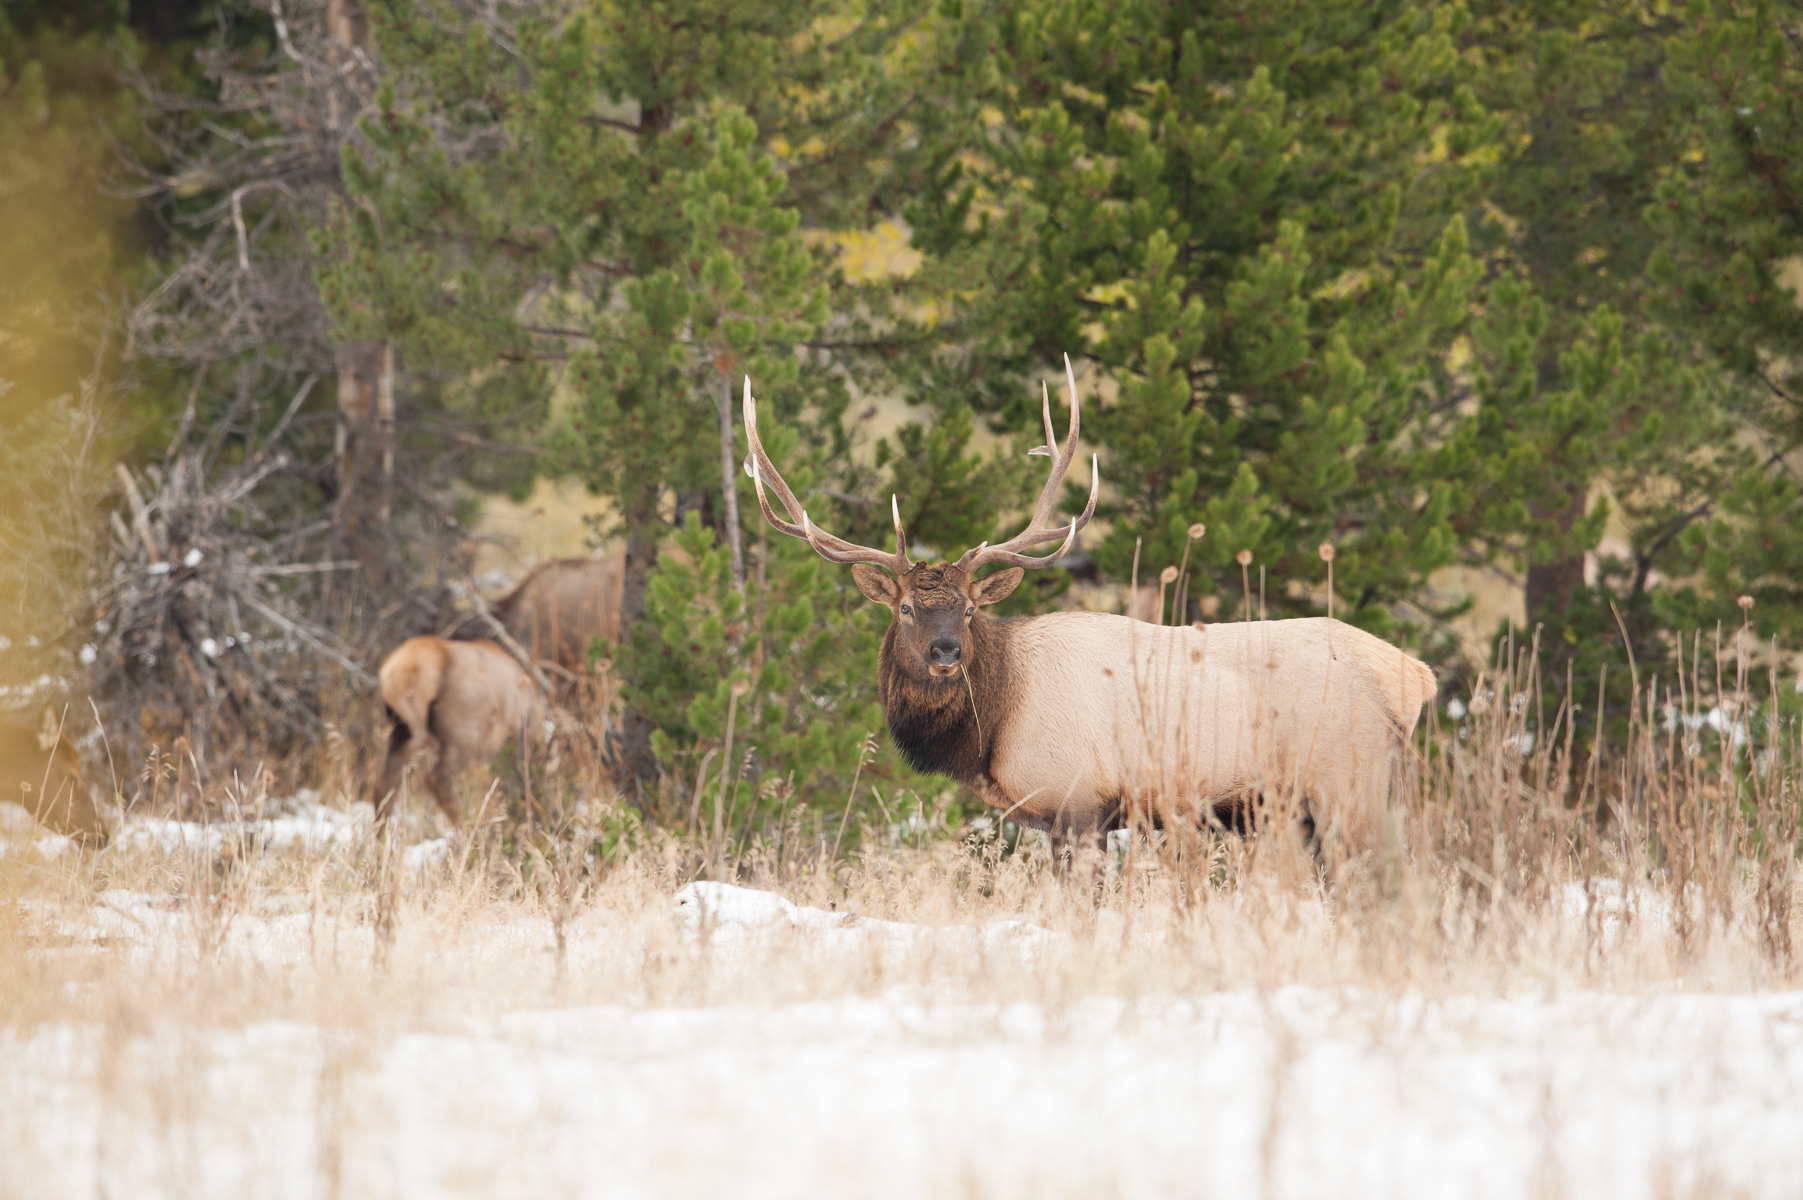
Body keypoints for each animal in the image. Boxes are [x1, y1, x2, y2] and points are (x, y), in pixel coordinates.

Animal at [741, 359, 1437, 869]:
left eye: (968, 608)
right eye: (908, 606)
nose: (945, 653)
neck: (994, 726)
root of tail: (1415, 678)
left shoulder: (1079, 797)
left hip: (1351, 781)